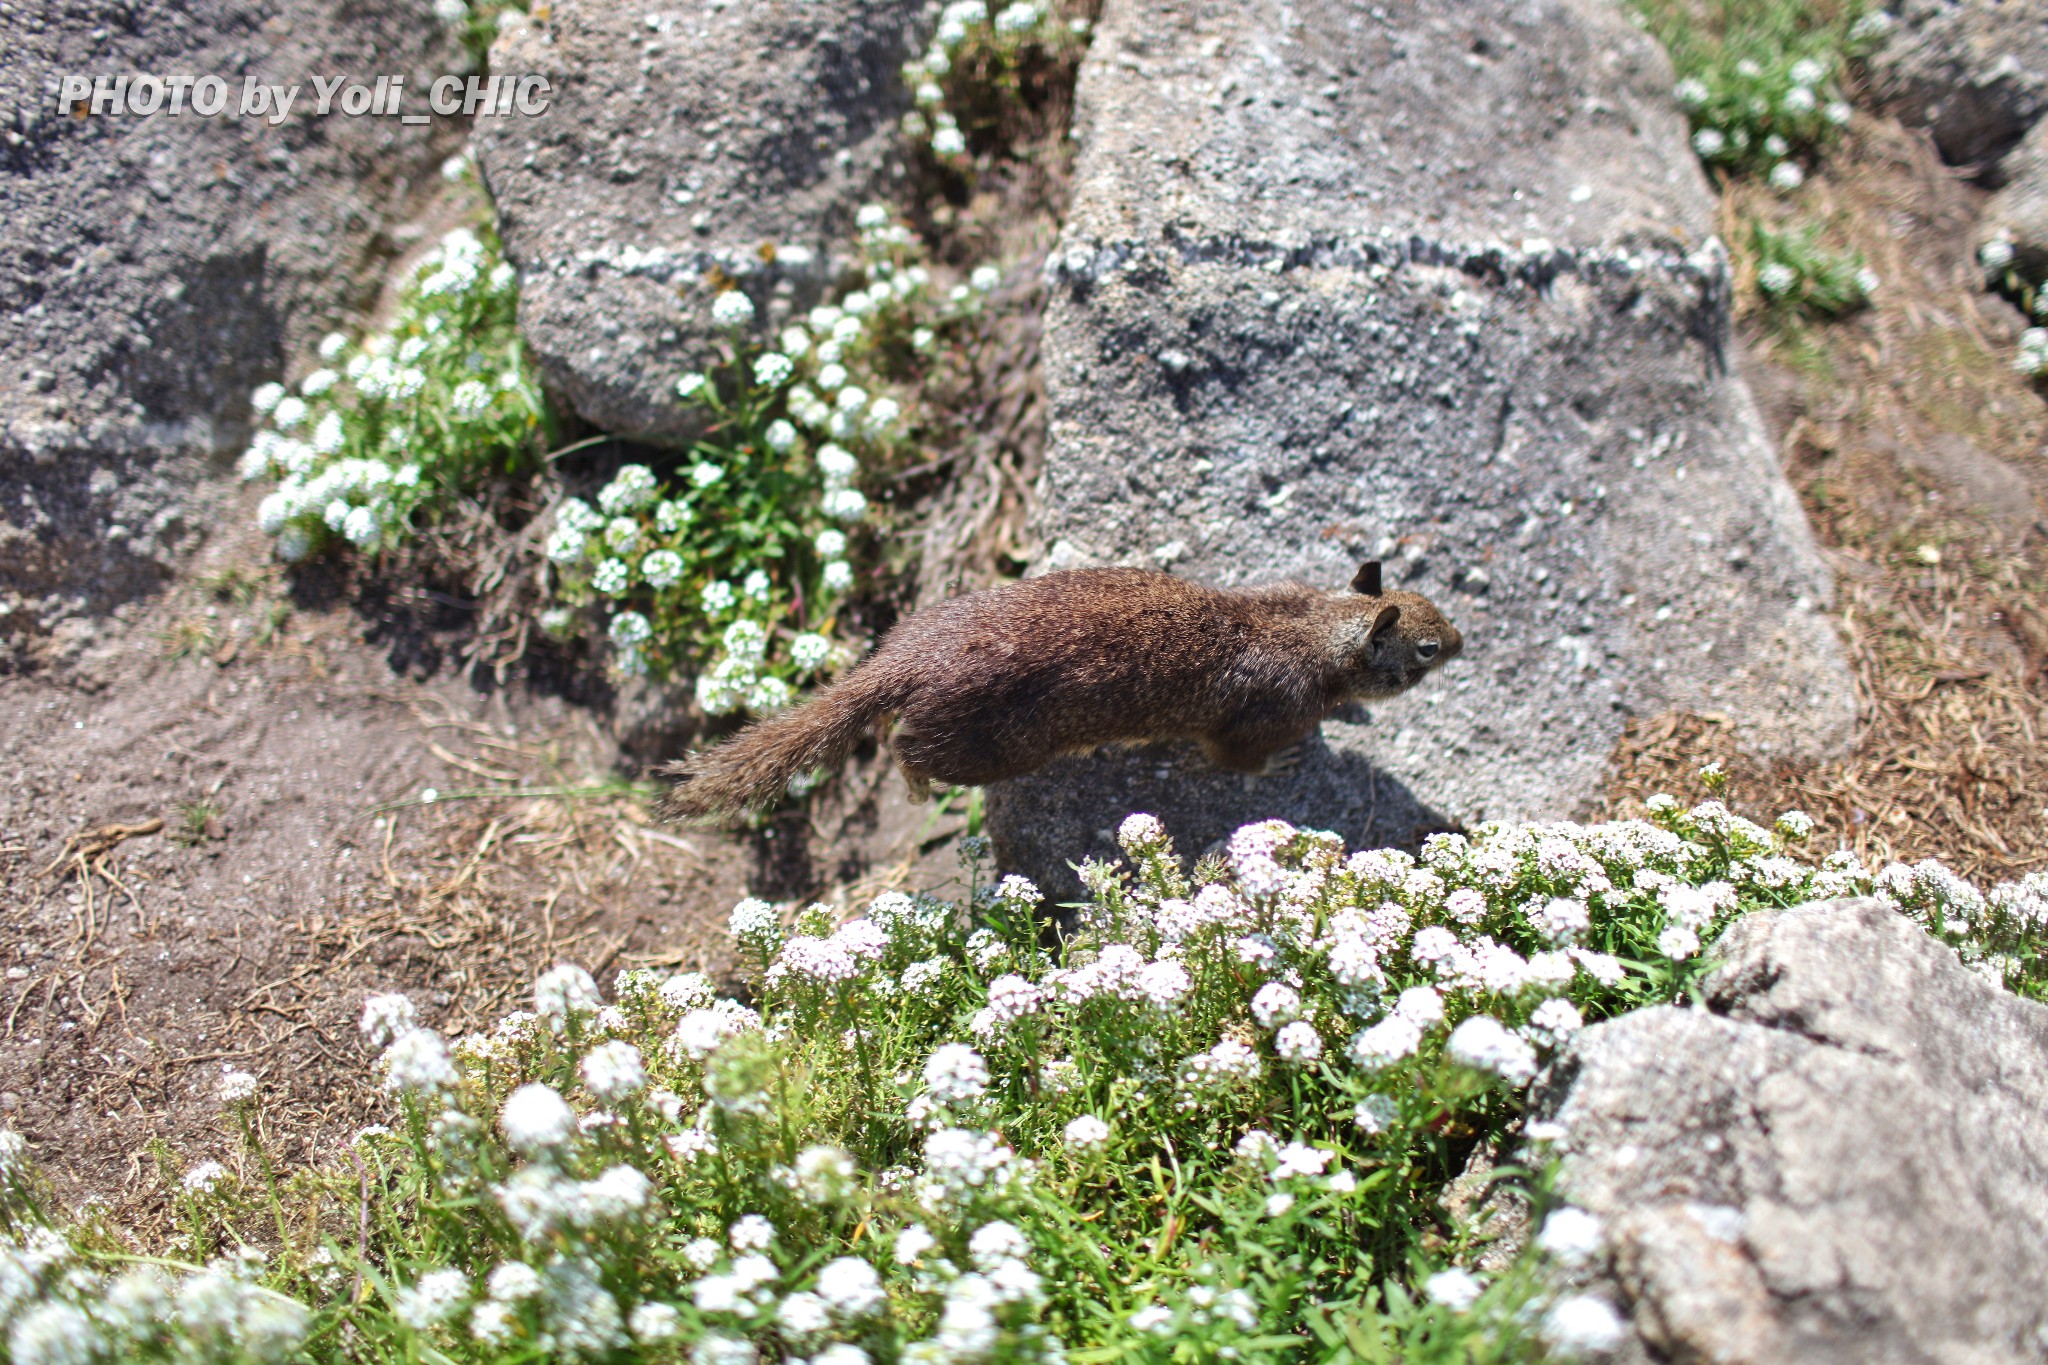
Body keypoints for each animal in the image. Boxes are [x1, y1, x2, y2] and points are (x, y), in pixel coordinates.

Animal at [667, 560, 1458, 818]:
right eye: (1426, 649)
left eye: (1436, 606)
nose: (1463, 642)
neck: (1312, 627)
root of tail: (905, 657)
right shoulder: (1259, 716)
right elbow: (1236, 759)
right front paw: (1287, 763)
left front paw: (1350, 718)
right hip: (989, 746)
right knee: (905, 748)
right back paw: (918, 786)